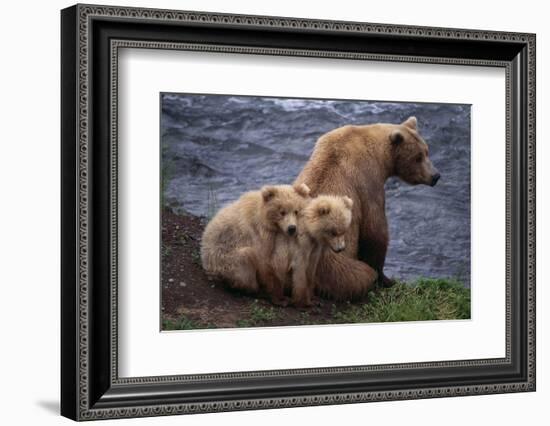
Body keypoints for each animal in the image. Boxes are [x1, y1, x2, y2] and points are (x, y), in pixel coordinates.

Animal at [296, 117, 442, 300]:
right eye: (418, 157)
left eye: (427, 151)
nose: (435, 176)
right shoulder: (367, 182)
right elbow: (375, 231)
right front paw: (387, 279)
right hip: (334, 265)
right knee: (359, 275)